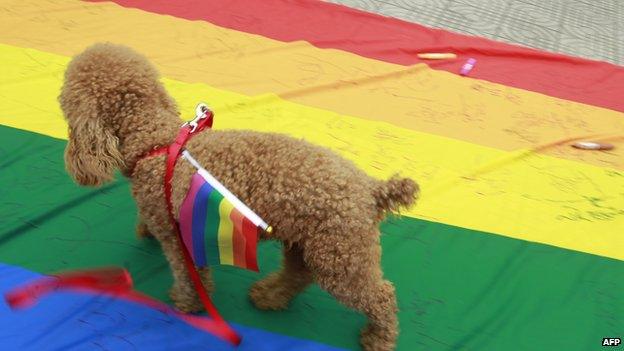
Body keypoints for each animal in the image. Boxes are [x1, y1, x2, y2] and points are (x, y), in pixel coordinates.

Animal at [59, 42, 420, 350]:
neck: (157, 142)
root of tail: (372, 189)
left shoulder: (178, 241)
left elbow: (189, 277)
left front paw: (186, 303)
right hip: (309, 243)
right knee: (299, 273)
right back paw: (271, 295)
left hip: (341, 257)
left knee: (381, 296)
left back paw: (379, 337)